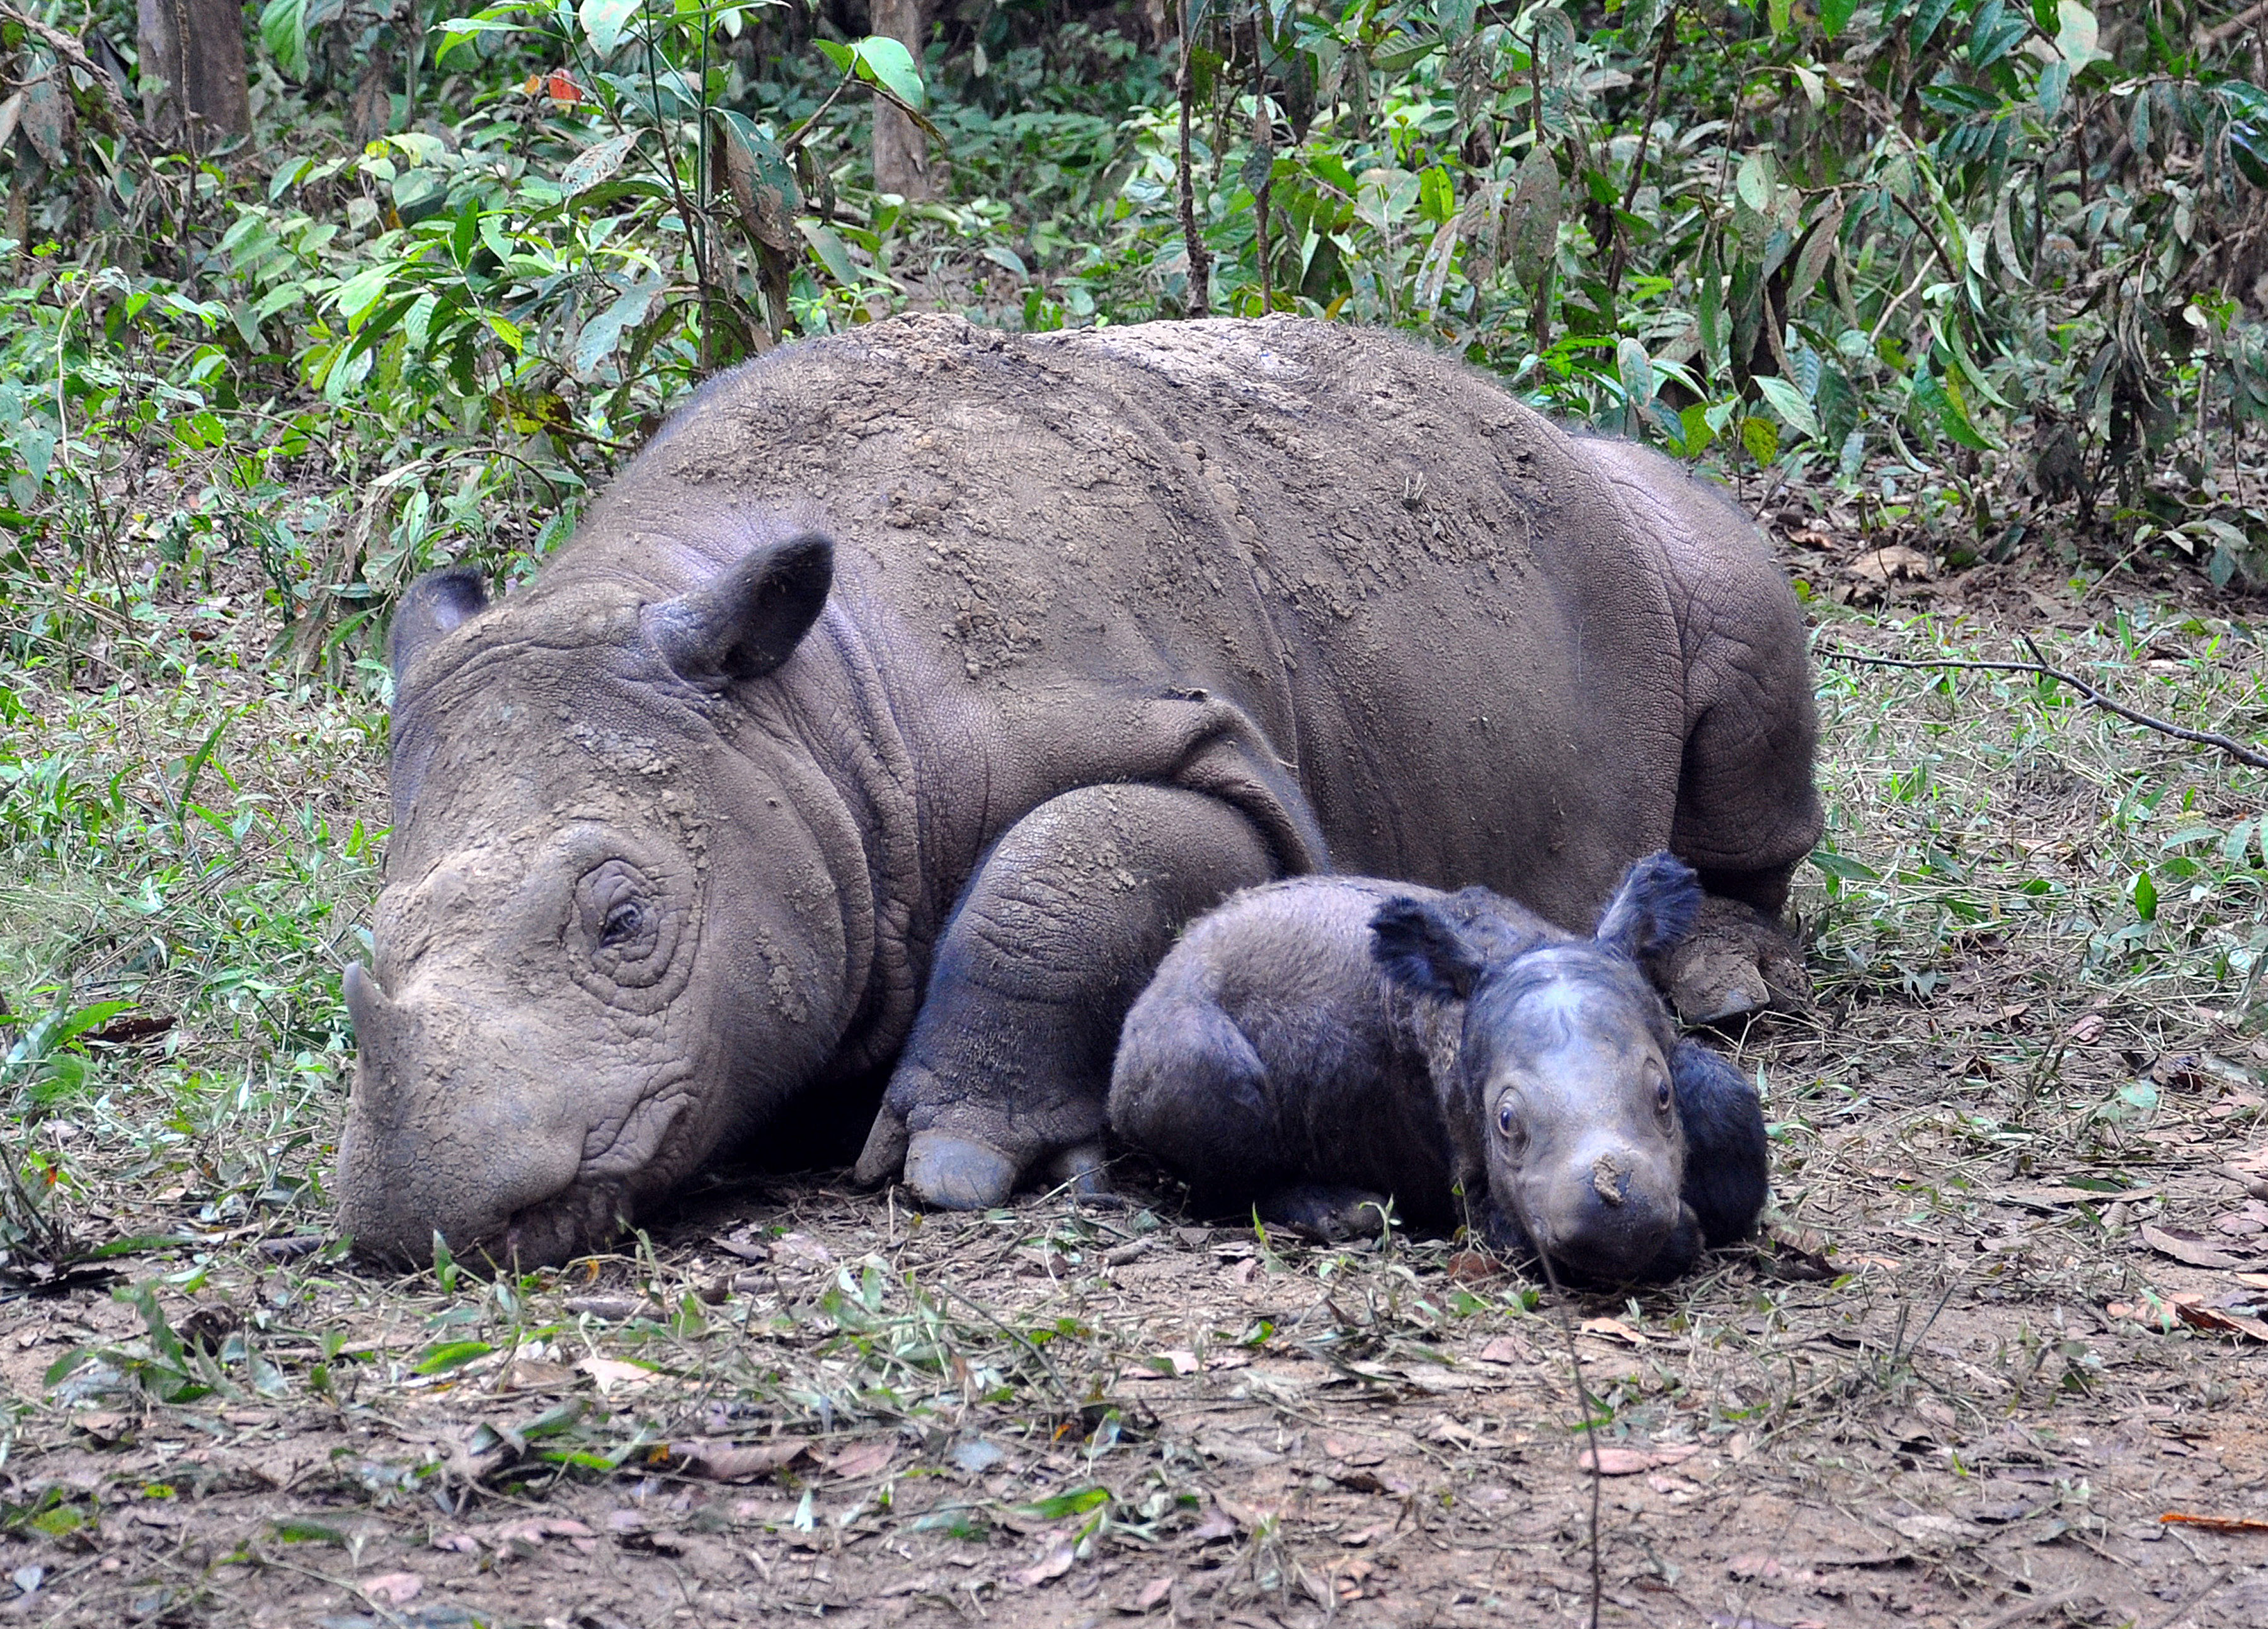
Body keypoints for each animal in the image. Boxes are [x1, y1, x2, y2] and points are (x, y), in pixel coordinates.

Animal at [1111, 853, 1769, 1288]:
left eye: (1662, 1095)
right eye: (1505, 1122)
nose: (1619, 1223)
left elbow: (1727, 1101)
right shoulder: (1482, 1192)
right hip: (1172, 1039)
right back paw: (1341, 1212)